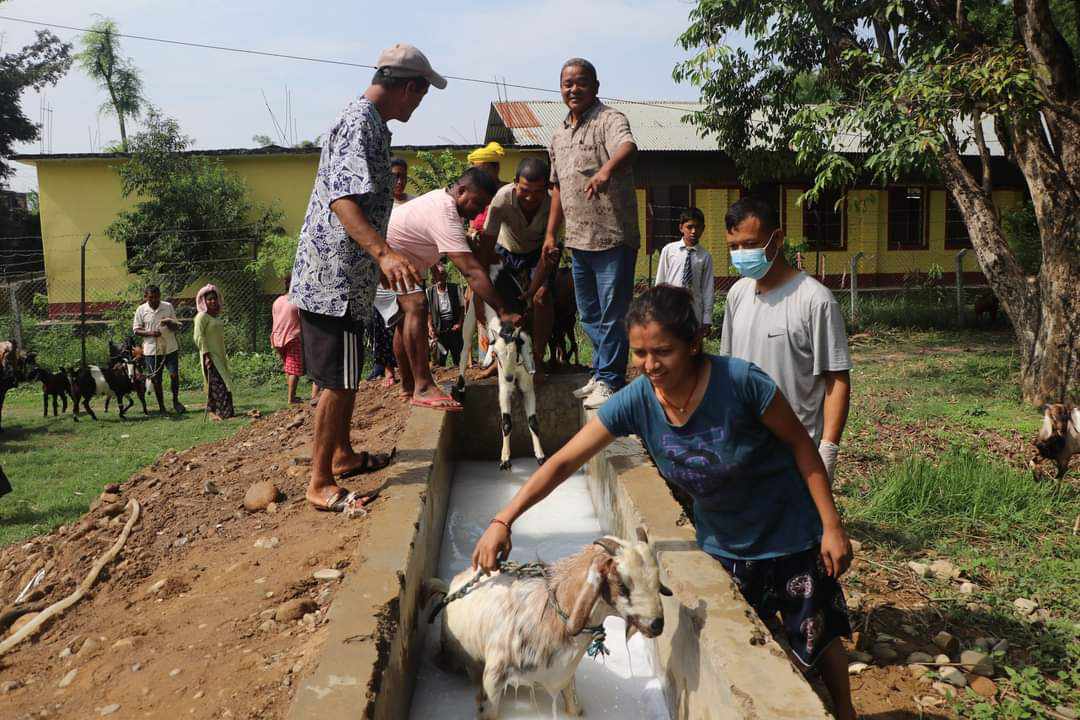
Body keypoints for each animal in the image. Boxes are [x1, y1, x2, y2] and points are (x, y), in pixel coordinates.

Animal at [427, 528, 665, 720]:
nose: (657, 624)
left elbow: (574, 709)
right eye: (623, 585)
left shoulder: (565, 677)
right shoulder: (493, 679)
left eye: (657, 581)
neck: (550, 618)